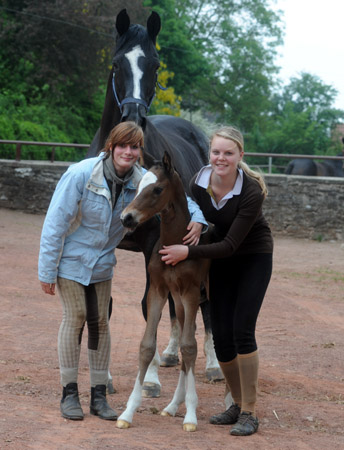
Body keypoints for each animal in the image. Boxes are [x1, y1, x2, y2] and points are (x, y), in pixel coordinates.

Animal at [84, 9, 222, 398]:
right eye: (117, 63)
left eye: (156, 64)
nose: (132, 116)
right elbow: (106, 306)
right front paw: (105, 377)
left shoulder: (151, 247)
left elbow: (150, 307)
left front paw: (149, 380)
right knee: (178, 305)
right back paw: (172, 352)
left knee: (203, 302)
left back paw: (212, 364)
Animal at [117, 153, 210, 430]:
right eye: (138, 186)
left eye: (157, 189)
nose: (126, 218)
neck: (177, 243)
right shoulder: (159, 291)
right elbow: (148, 346)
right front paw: (128, 412)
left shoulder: (191, 292)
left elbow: (190, 347)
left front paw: (191, 415)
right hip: (178, 301)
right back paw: (171, 406)